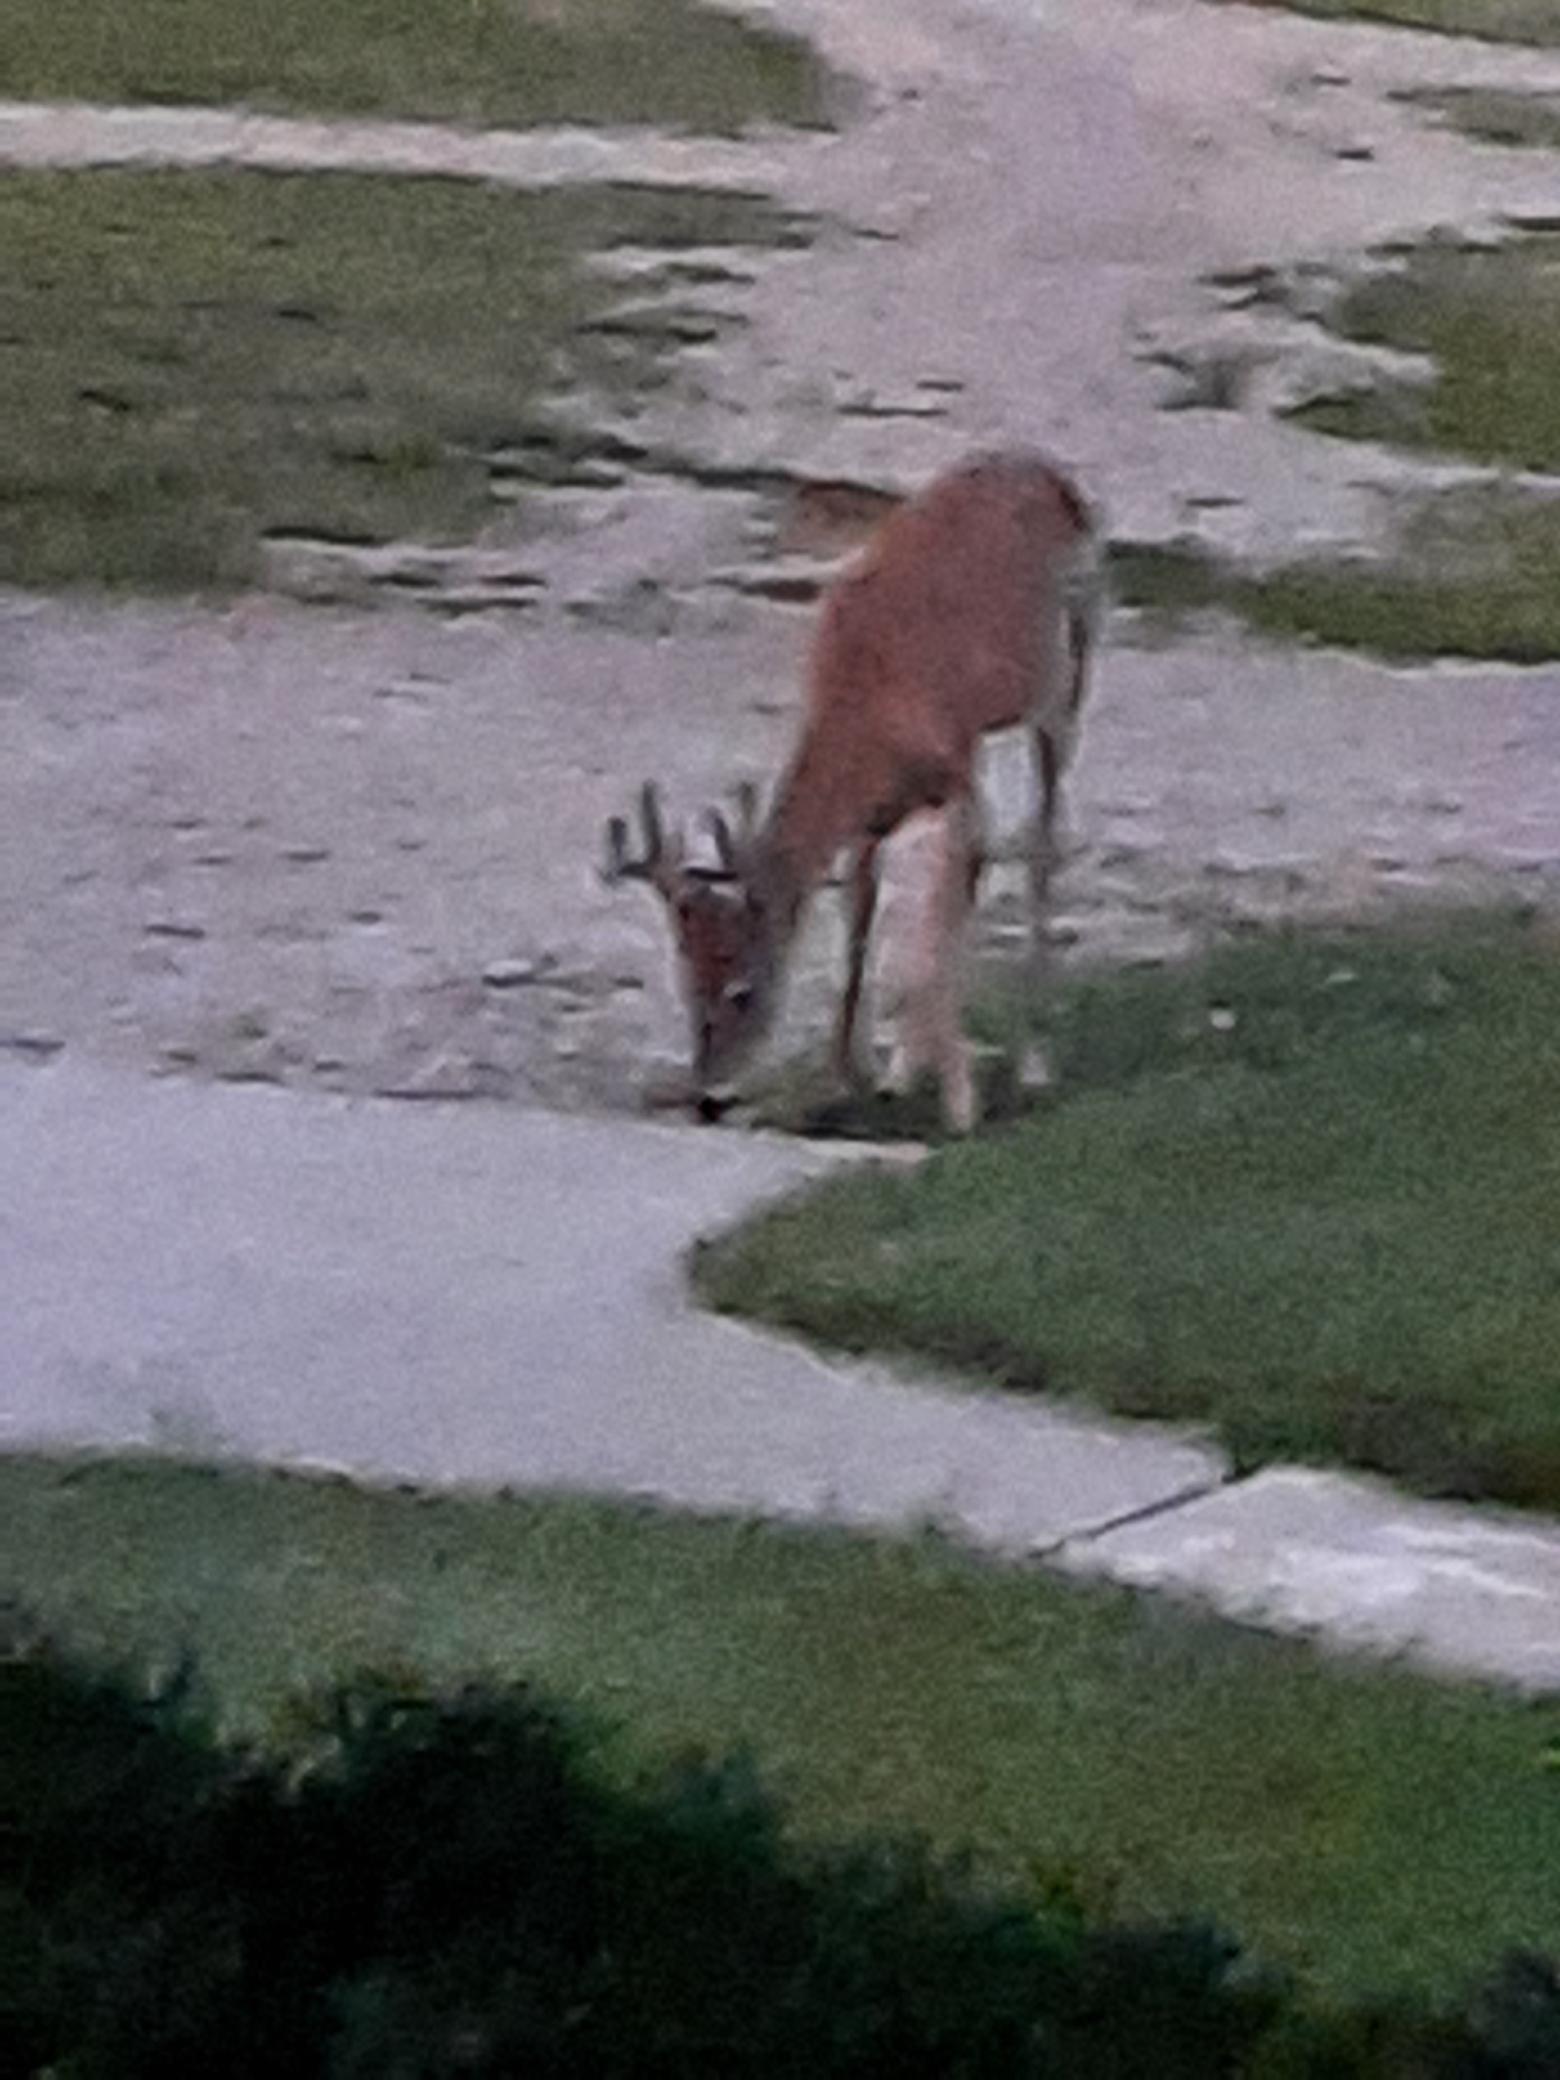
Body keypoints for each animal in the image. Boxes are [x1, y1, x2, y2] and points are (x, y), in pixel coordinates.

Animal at [603, 447, 1100, 1133]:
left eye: (743, 990)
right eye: (684, 983)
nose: (708, 1095)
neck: (864, 707)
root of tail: (1050, 473)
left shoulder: (955, 771)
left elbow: (932, 924)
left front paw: (959, 1100)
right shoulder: (873, 818)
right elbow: (860, 918)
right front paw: (853, 1075)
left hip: (1066, 669)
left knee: (1042, 842)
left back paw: (1033, 1059)